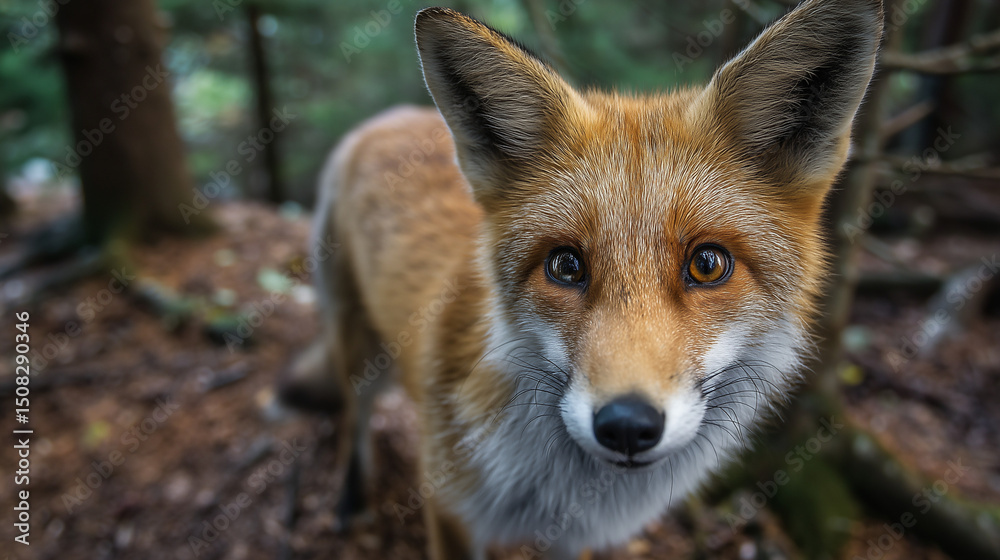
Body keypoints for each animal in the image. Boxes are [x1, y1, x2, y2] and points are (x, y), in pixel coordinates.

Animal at [281, 0, 883, 558]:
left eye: (707, 264)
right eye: (566, 265)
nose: (627, 426)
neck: (559, 495)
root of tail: (385, 118)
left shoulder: (574, 540)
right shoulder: (451, 511)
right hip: (358, 349)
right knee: (354, 419)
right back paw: (349, 499)